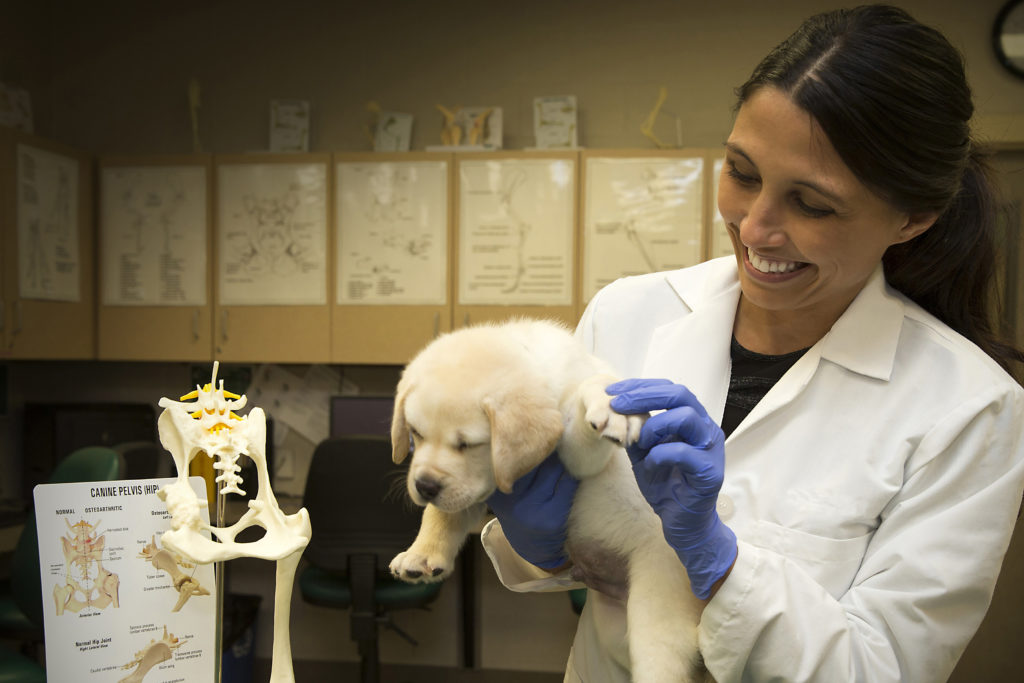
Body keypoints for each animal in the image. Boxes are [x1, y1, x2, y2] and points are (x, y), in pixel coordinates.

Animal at [387, 321, 708, 683]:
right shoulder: (472, 489)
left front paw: (610, 402)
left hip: (656, 607)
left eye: (467, 445)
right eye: (416, 433)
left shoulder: (582, 460)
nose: (425, 486)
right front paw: (421, 554)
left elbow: (590, 396)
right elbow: (442, 516)